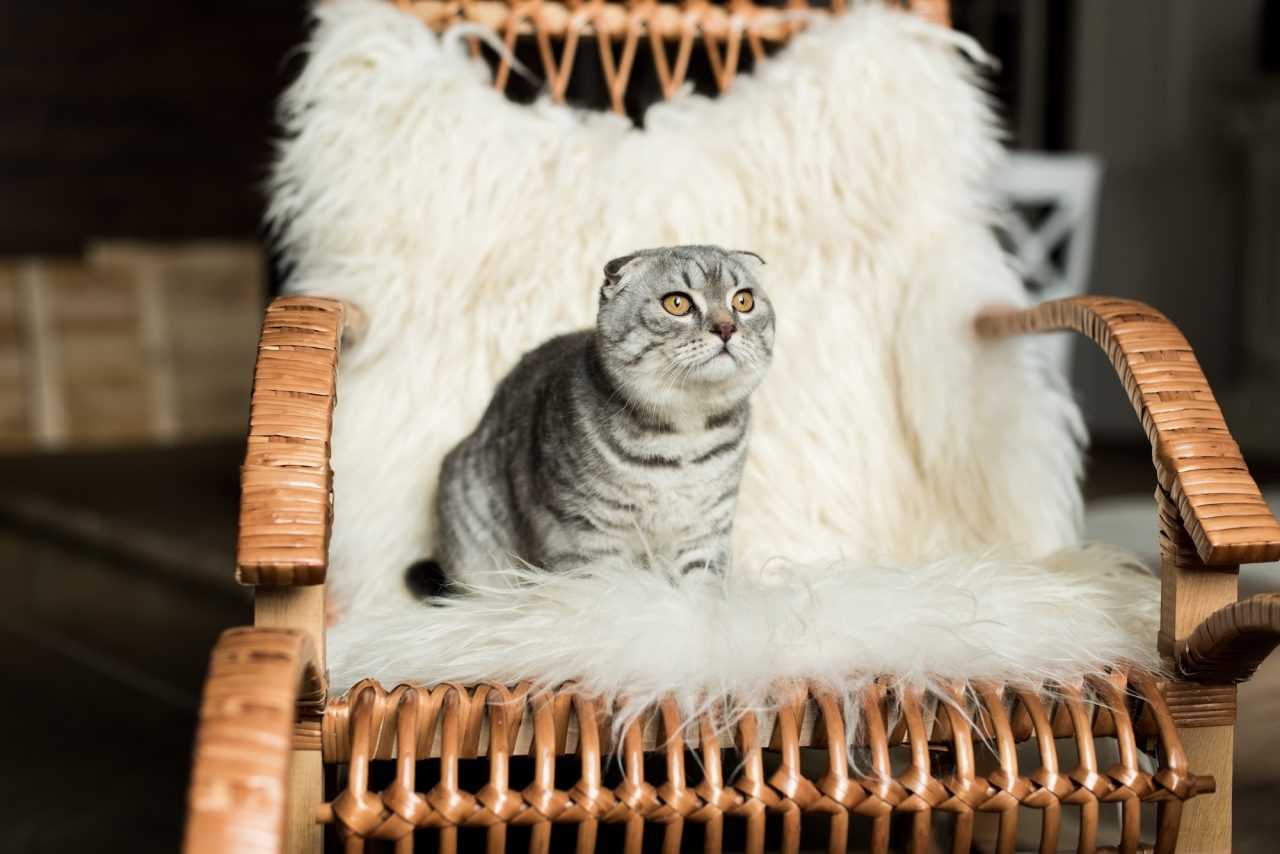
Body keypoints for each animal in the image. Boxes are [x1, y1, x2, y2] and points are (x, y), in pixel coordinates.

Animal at [430, 243, 773, 583]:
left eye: (743, 301)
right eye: (677, 303)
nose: (726, 327)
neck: (684, 435)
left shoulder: (705, 534)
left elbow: (702, 590)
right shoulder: (586, 536)